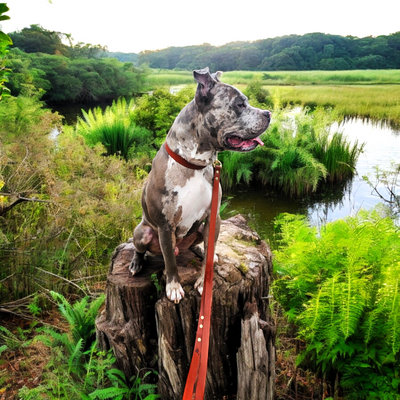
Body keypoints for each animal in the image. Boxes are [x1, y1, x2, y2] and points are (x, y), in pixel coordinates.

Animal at [130, 67, 270, 302]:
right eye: (240, 104)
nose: (268, 113)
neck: (194, 164)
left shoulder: (213, 218)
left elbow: (207, 255)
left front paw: (205, 279)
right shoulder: (165, 226)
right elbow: (170, 262)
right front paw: (174, 286)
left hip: (204, 228)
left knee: (201, 247)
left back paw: (205, 253)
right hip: (143, 232)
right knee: (144, 249)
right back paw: (136, 262)